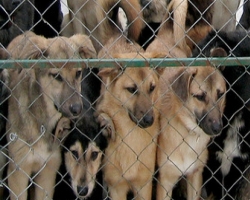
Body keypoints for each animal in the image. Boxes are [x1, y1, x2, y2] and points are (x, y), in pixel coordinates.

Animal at [4, 31, 96, 200]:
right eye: (57, 76)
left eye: (78, 73)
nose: (77, 109)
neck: (42, 122)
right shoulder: (18, 173)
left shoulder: (49, 171)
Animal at [97, 52, 164, 200]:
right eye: (132, 89)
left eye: (152, 88)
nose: (149, 120)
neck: (132, 136)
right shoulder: (116, 187)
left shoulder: (144, 186)